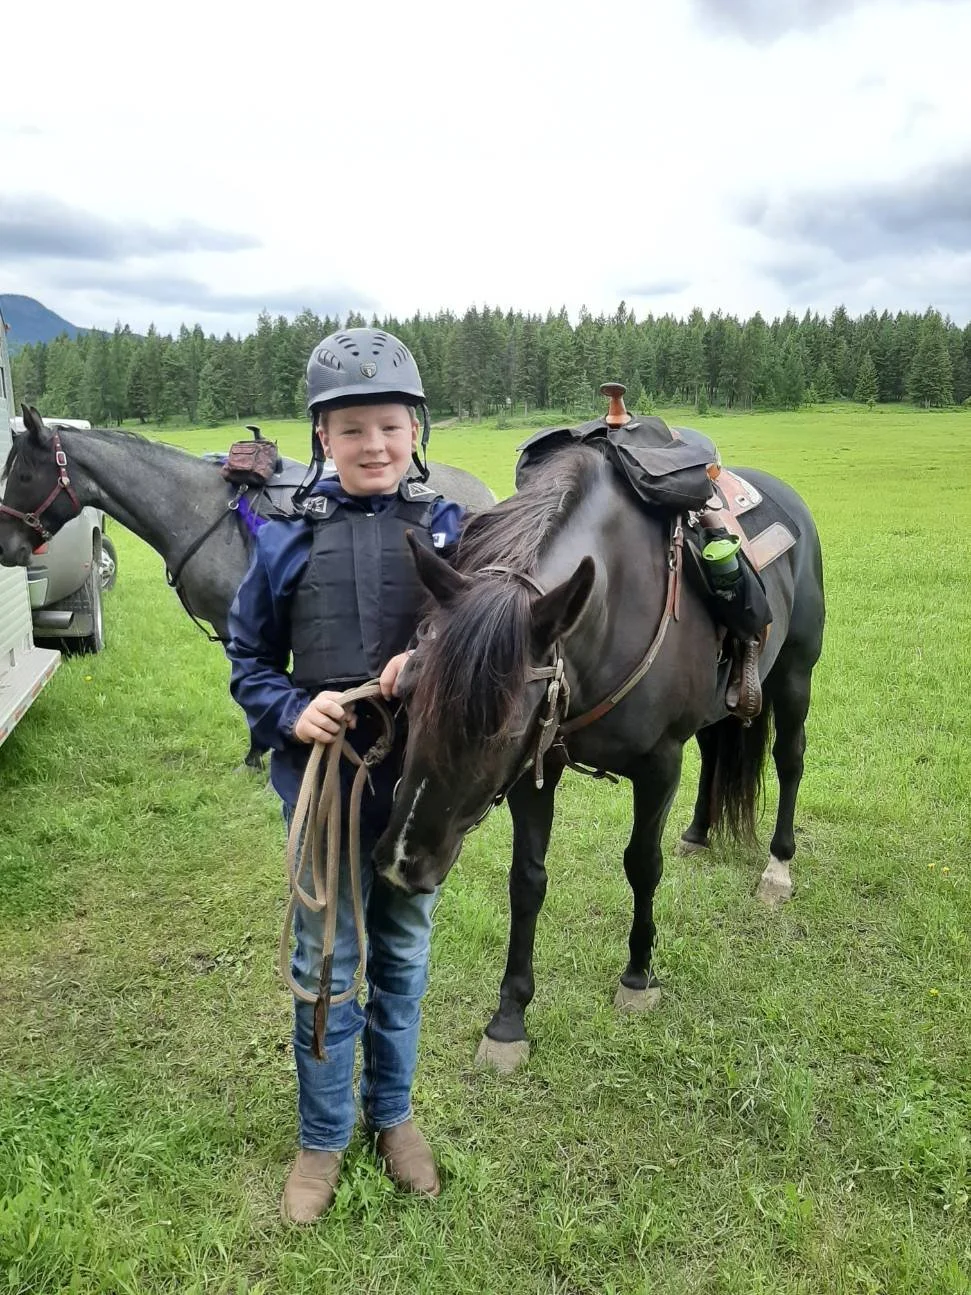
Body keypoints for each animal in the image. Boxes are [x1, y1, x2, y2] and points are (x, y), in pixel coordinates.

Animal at [372, 441, 825, 1073]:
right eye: (408, 692)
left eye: (500, 728)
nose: (399, 862)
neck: (608, 618)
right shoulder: (537, 767)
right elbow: (527, 879)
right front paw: (509, 1019)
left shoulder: (659, 764)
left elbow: (641, 864)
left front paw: (638, 978)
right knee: (717, 749)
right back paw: (698, 834)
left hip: (795, 671)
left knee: (790, 758)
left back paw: (778, 868)